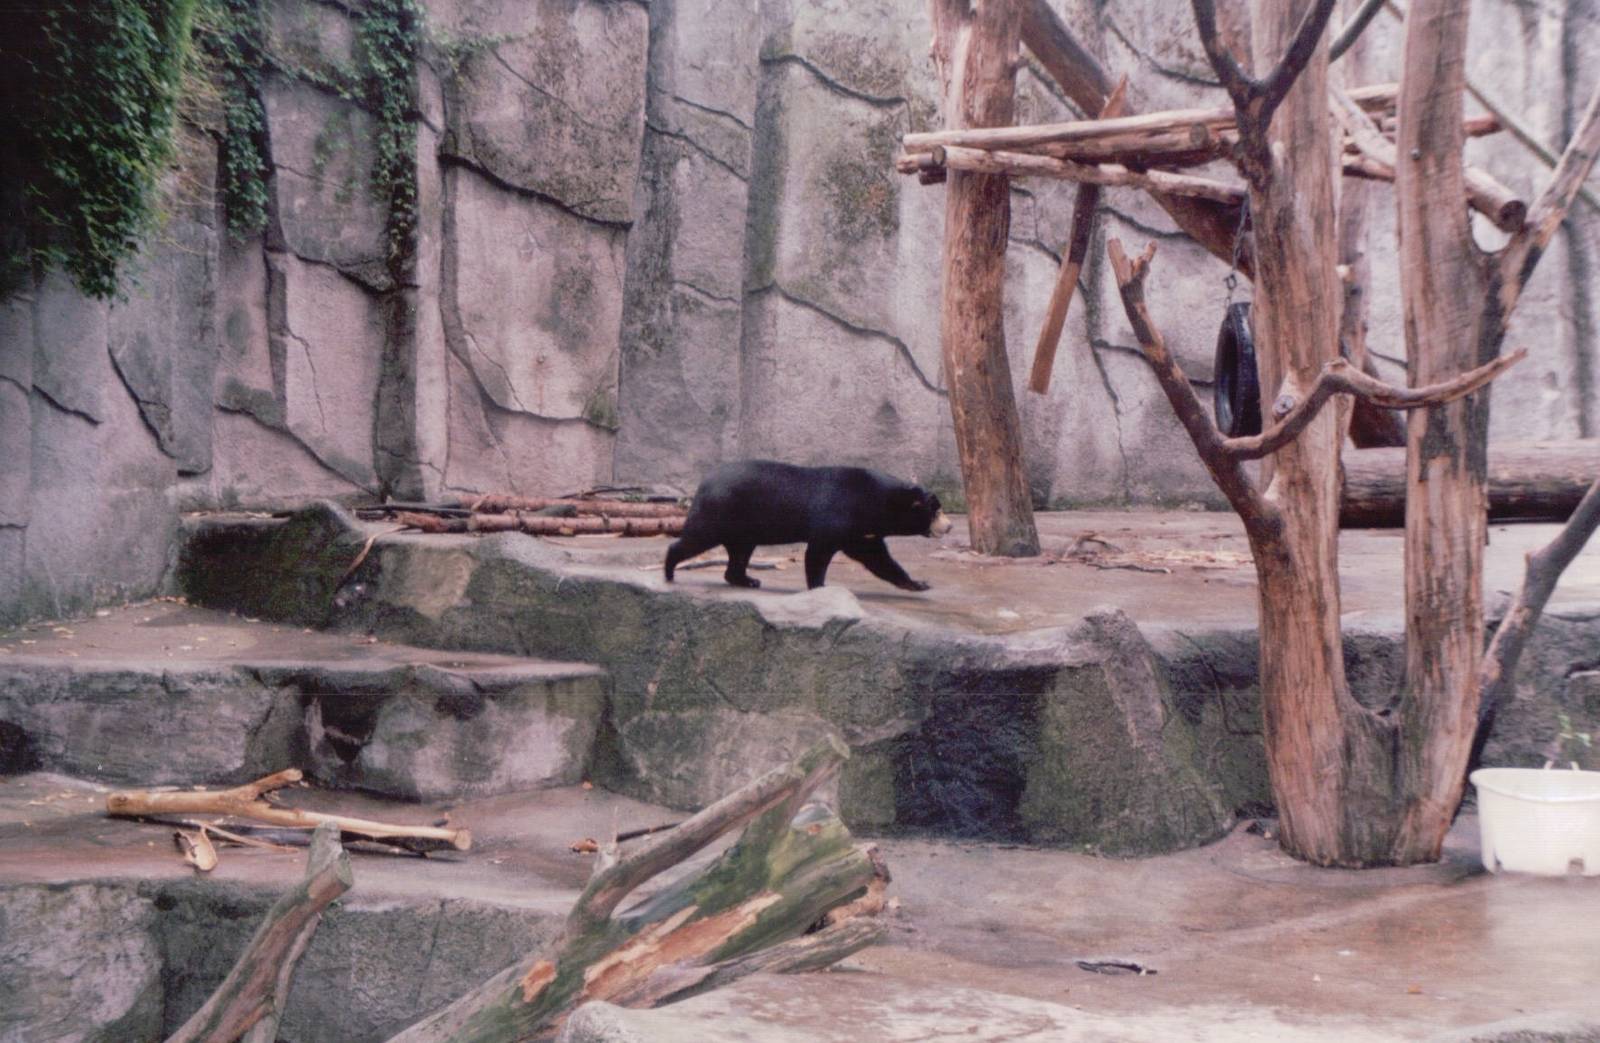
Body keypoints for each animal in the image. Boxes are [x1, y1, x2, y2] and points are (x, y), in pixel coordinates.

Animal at [663, 460, 953, 591]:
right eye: (936, 511)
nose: (949, 526)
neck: (876, 500)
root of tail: (704, 483)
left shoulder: (861, 530)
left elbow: (877, 557)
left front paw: (919, 583)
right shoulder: (839, 515)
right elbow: (818, 551)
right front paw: (819, 587)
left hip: (743, 524)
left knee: (740, 551)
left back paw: (748, 579)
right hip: (720, 512)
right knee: (697, 538)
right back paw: (669, 571)